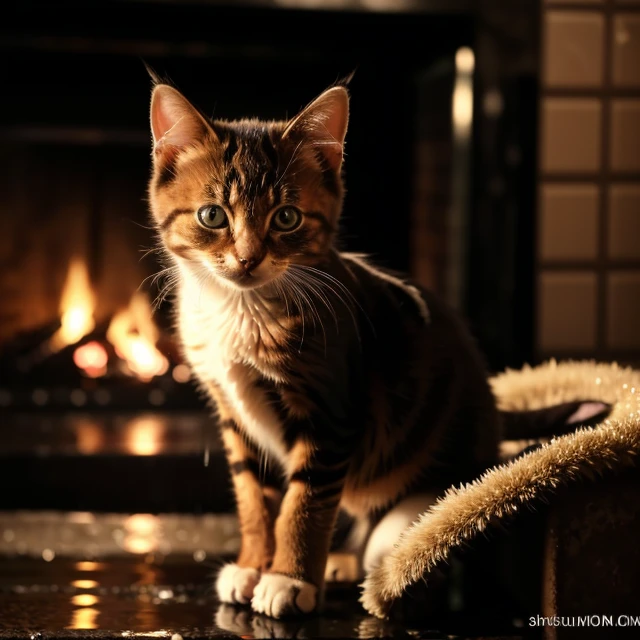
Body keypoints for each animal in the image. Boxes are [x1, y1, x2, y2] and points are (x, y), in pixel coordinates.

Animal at [149, 77, 500, 616]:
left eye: (287, 218)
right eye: (212, 216)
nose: (247, 259)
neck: (243, 310)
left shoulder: (332, 408)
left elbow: (306, 500)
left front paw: (289, 579)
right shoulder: (232, 411)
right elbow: (254, 496)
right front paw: (253, 565)